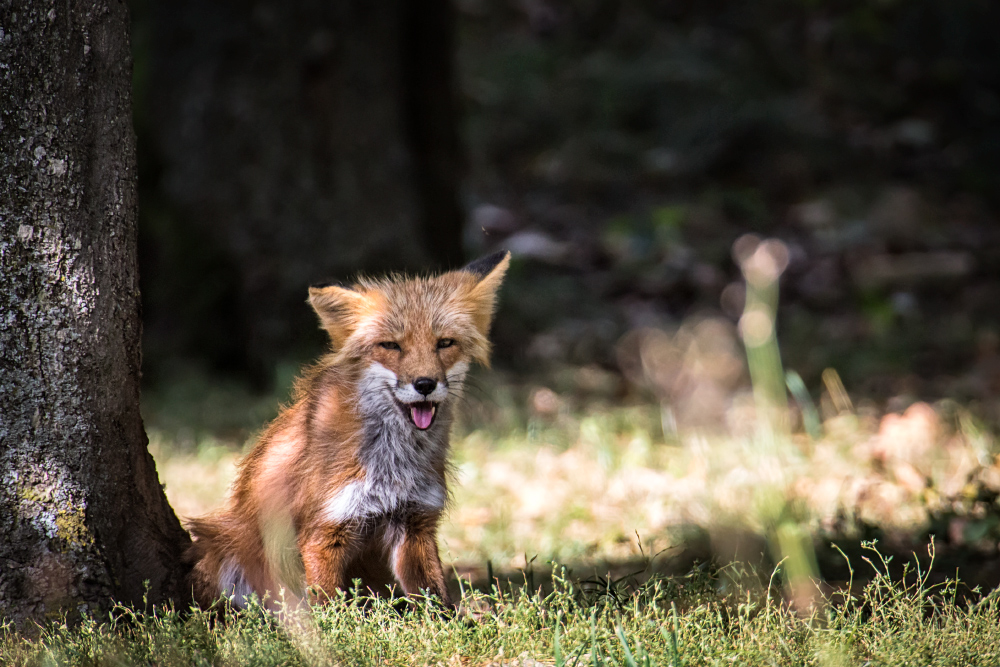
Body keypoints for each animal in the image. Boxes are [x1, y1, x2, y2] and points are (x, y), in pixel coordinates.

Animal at [187, 250, 512, 612]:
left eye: (444, 343)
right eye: (391, 346)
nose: (425, 384)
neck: (394, 464)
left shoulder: (415, 522)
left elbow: (434, 598)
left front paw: (451, 620)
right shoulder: (324, 529)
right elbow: (328, 602)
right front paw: (332, 625)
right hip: (223, 546)